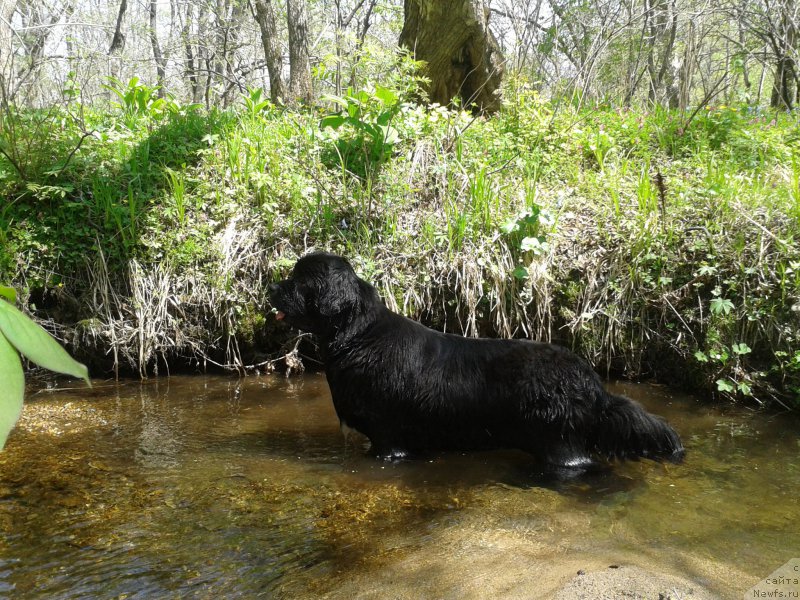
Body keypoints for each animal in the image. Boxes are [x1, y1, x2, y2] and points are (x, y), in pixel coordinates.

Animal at [268, 251, 680, 466]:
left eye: (298, 280)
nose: (270, 287)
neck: (359, 336)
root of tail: (594, 386)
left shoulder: (388, 438)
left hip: (560, 442)